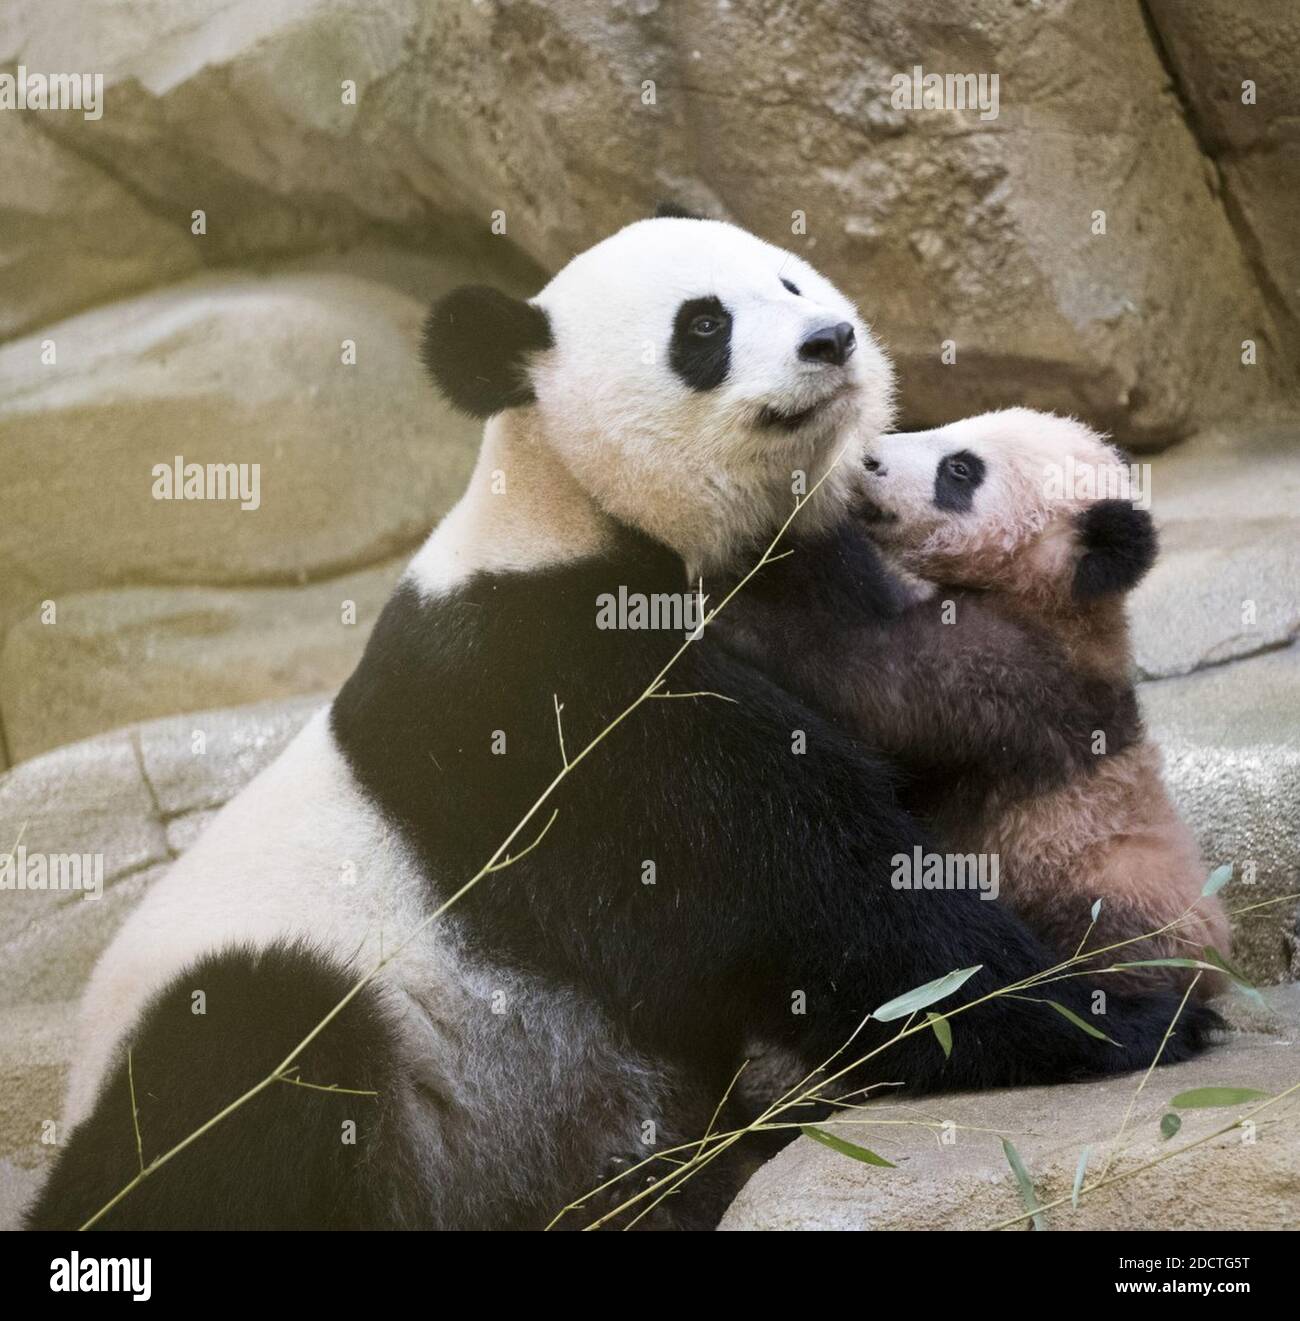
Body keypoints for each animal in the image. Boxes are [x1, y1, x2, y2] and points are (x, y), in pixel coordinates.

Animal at [718, 408, 1230, 997]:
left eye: (960, 470)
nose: (868, 458)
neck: (1060, 602)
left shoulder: (1013, 678)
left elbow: (872, 691)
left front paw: (727, 615)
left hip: (1108, 892)